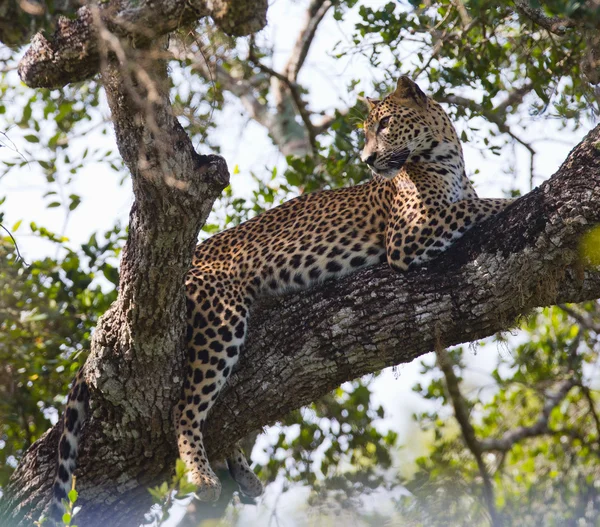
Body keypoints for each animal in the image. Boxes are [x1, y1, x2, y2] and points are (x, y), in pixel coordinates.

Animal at [49, 75, 512, 520]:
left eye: (384, 125)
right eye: (367, 131)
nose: (367, 160)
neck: (446, 158)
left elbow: (470, 203)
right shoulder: (407, 237)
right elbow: (474, 207)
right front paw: (512, 201)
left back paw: (242, 472)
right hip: (221, 318)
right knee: (185, 408)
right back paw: (202, 474)